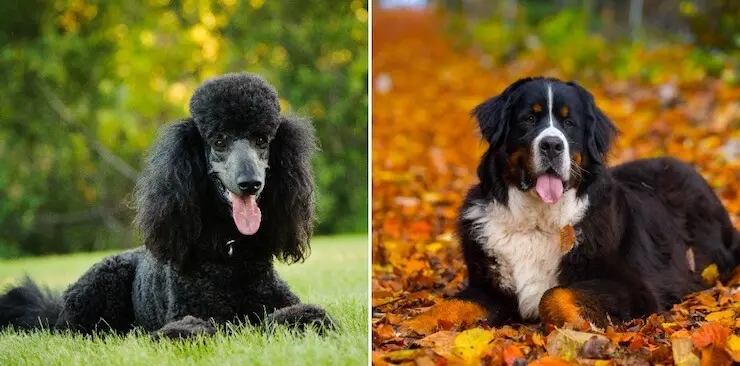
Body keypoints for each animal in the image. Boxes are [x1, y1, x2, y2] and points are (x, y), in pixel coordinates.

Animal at [402, 76, 740, 332]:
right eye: (529, 119)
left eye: (569, 123)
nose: (552, 144)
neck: (537, 221)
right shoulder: (490, 288)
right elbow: (450, 304)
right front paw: (410, 326)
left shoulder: (635, 287)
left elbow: (553, 294)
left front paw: (579, 328)